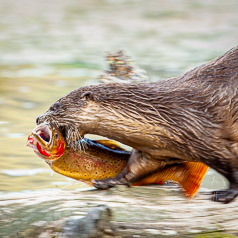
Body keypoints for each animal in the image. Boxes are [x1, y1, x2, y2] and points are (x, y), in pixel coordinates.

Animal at [36, 46, 238, 203]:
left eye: (55, 106)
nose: (38, 118)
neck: (168, 113)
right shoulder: (154, 150)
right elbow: (133, 169)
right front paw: (108, 181)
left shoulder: (208, 137)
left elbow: (231, 164)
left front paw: (226, 194)